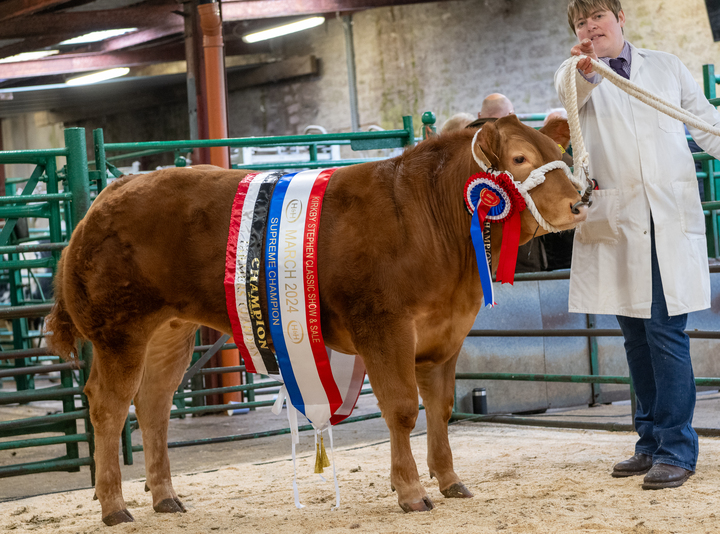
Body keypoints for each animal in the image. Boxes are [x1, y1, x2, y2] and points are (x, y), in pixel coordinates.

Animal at [45, 115, 584, 524]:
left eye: (562, 152)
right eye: (520, 159)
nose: (581, 201)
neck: (431, 221)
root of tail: (110, 192)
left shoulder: (446, 332)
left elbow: (441, 407)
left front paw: (451, 481)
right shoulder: (384, 326)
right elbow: (402, 409)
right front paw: (411, 492)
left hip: (169, 330)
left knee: (153, 403)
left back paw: (165, 497)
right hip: (120, 329)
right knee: (108, 406)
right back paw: (114, 506)